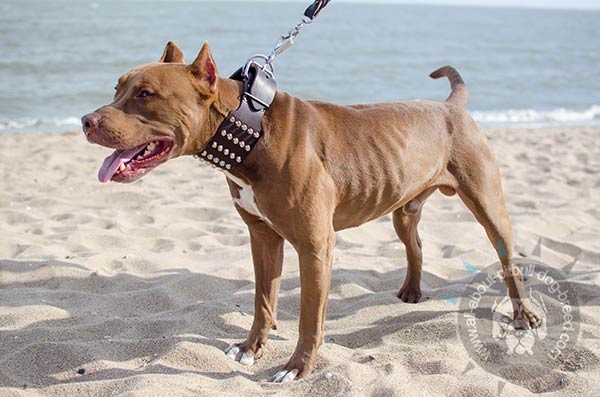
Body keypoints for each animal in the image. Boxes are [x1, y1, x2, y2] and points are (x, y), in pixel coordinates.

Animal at [82, 40, 540, 380]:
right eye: (117, 88)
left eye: (146, 94)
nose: (86, 120)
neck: (250, 129)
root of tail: (450, 106)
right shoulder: (263, 238)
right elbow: (263, 301)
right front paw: (251, 348)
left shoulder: (315, 247)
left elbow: (308, 317)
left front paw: (297, 368)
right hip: (403, 208)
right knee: (416, 244)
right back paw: (411, 291)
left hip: (488, 206)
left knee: (508, 262)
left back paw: (523, 315)